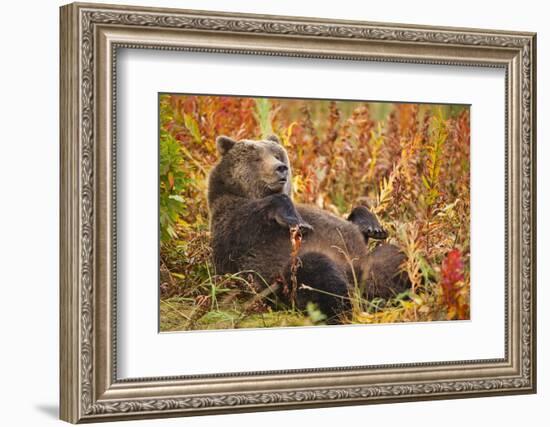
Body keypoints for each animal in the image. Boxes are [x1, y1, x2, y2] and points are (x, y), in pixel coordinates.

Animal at [207, 135, 410, 322]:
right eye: (256, 158)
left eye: (277, 154)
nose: (281, 167)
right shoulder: (234, 224)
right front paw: (298, 221)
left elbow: (355, 226)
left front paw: (373, 227)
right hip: (288, 281)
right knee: (316, 270)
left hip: (372, 262)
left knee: (396, 256)